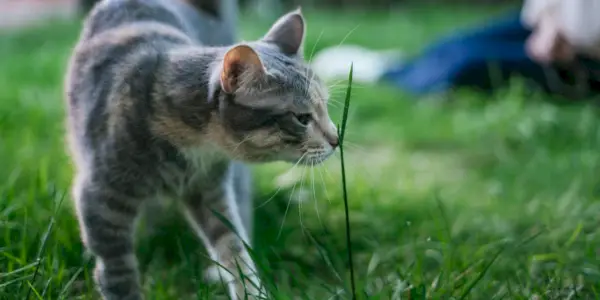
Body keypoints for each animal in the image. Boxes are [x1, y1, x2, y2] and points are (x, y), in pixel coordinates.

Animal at [65, 0, 340, 298]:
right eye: (302, 118)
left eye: (324, 107)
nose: (337, 139)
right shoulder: (100, 195)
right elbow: (118, 271)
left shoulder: (210, 190)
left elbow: (233, 248)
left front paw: (249, 289)